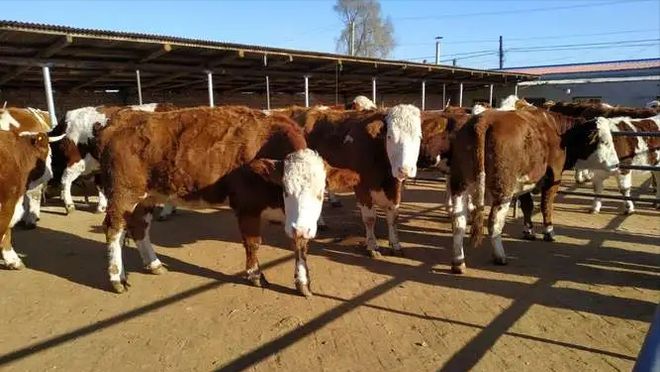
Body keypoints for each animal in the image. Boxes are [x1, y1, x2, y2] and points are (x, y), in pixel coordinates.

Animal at [97, 105, 356, 296]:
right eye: (286, 190)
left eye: (321, 192)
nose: (301, 227)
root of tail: (121, 120)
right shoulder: (247, 205)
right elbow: (253, 243)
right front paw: (255, 275)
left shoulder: (296, 220)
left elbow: (300, 244)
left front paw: (303, 282)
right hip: (123, 194)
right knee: (114, 230)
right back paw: (115, 277)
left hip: (147, 196)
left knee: (138, 228)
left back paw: (152, 264)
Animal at [448, 104, 620, 274]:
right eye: (604, 141)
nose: (617, 164)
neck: (557, 131)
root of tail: (483, 120)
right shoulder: (554, 178)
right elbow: (546, 206)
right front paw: (549, 231)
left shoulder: (524, 182)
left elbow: (527, 206)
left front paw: (529, 231)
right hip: (504, 189)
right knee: (494, 222)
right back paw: (499, 256)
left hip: (460, 185)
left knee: (458, 222)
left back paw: (458, 262)